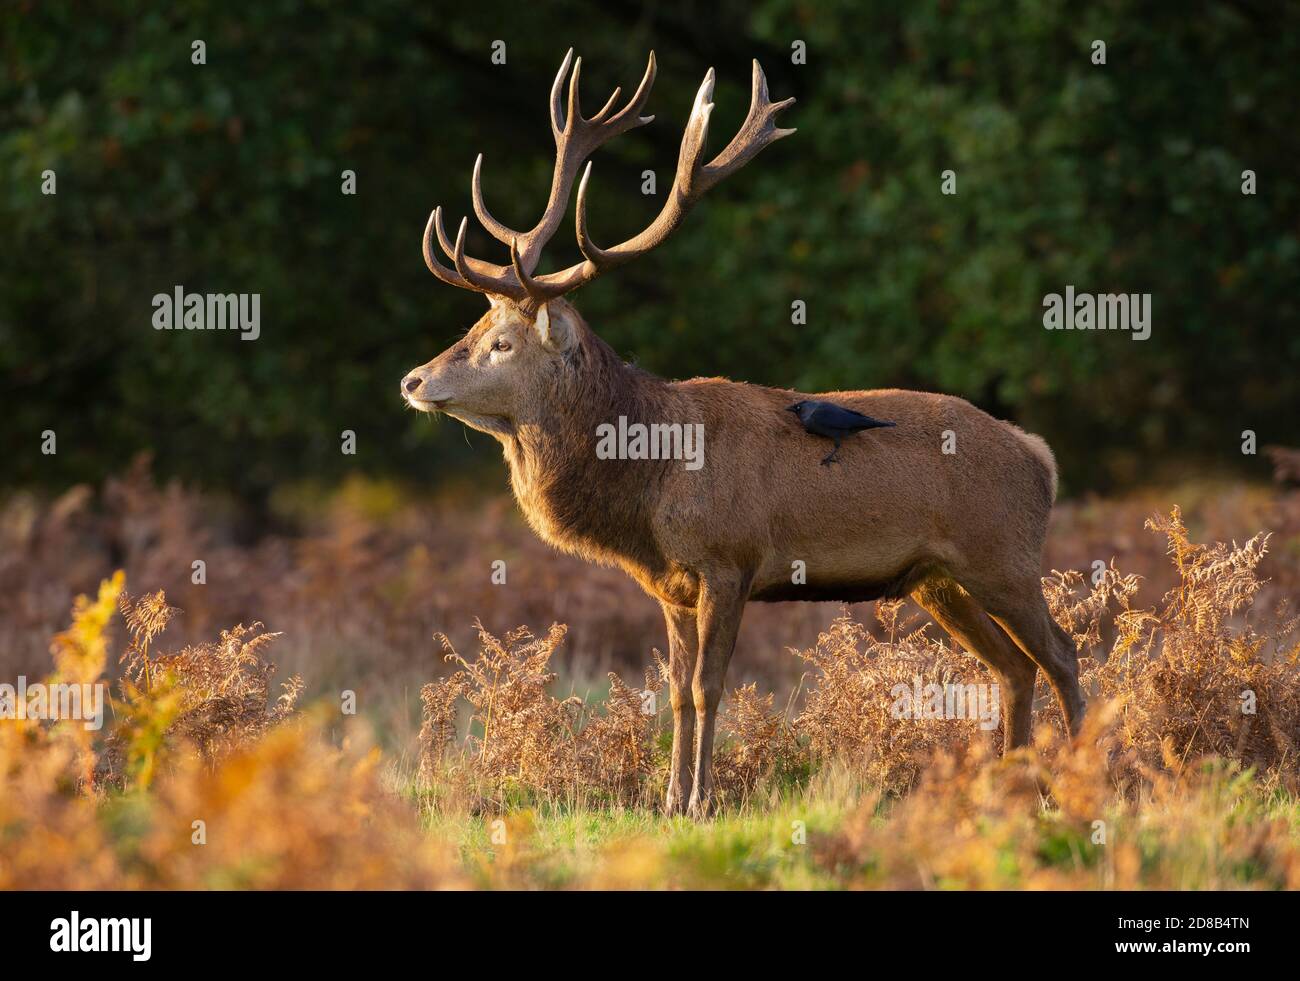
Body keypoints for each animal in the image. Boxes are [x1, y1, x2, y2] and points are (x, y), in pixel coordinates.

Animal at [401, 50, 1086, 816]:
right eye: (474, 326)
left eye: (501, 344)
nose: (413, 380)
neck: (649, 479)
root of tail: (1039, 456)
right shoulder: (671, 584)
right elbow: (673, 692)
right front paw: (670, 801)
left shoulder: (730, 558)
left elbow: (709, 686)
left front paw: (702, 801)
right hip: (937, 580)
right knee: (1014, 666)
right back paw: (1012, 789)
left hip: (1004, 555)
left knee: (1062, 653)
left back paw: (1091, 773)